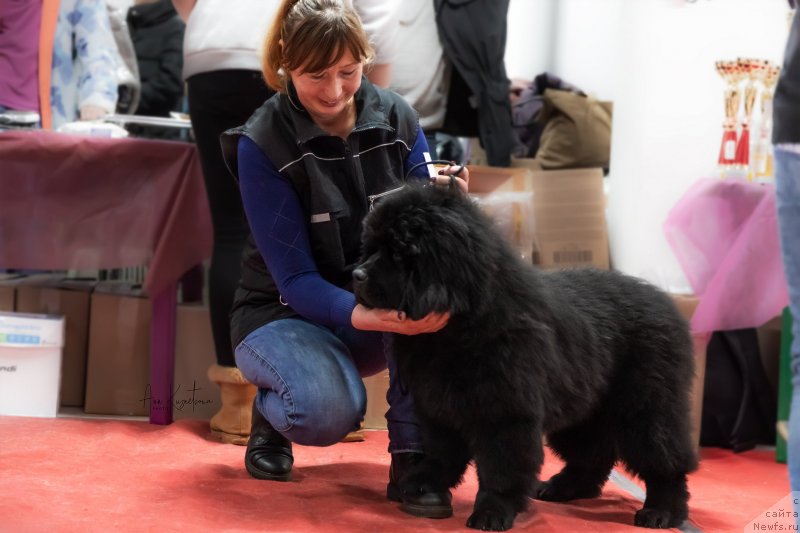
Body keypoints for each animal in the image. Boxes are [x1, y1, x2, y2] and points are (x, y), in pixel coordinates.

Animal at [354, 183, 696, 528]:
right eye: (371, 247)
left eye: (399, 252)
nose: (357, 274)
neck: (463, 322)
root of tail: (668, 307)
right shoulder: (437, 406)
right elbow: (442, 452)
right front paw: (424, 483)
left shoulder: (506, 413)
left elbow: (501, 469)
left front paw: (492, 512)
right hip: (583, 410)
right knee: (593, 455)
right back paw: (561, 488)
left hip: (647, 409)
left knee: (664, 461)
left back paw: (662, 511)